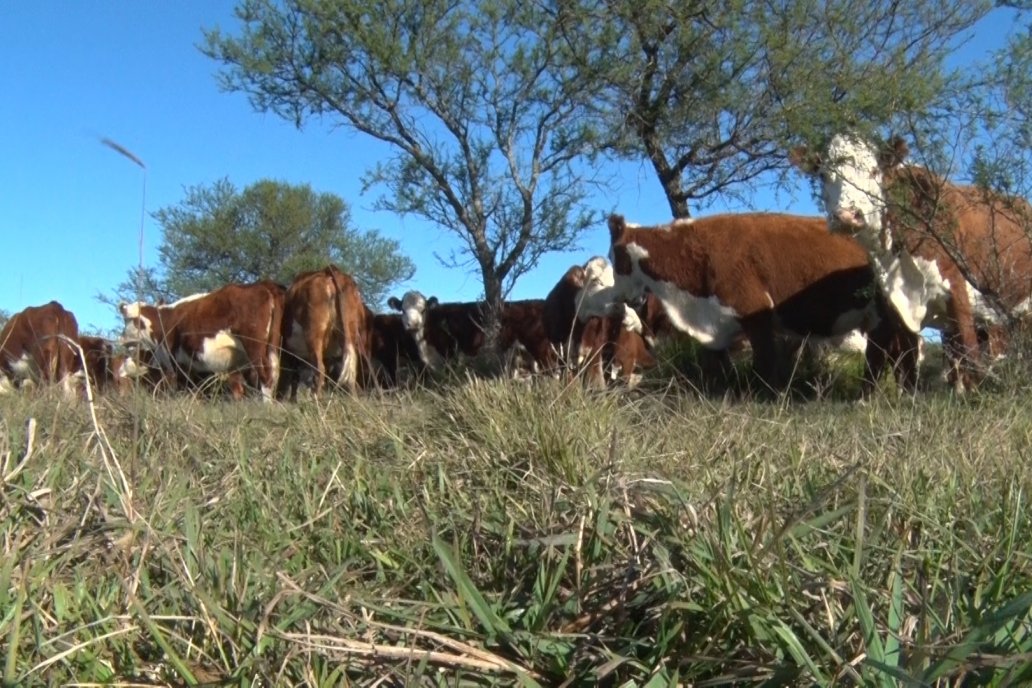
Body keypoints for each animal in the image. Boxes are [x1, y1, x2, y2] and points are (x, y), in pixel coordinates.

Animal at [118, 278, 284, 400]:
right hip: (272, 345)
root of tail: (263, 284)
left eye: (127, 320)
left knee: (266, 375)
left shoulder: (176, 363)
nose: (121, 339)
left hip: (255, 346)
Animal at [278, 266, 371, 400]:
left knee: (319, 370)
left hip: (314, 335)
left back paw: (315, 399)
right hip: (350, 333)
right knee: (351, 371)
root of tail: (329, 271)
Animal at [788, 134, 1032, 389]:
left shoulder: (958, 294)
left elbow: (969, 352)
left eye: (874, 171)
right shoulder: (893, 306)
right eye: (823, 175)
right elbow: (899, 363)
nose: (846, 215)